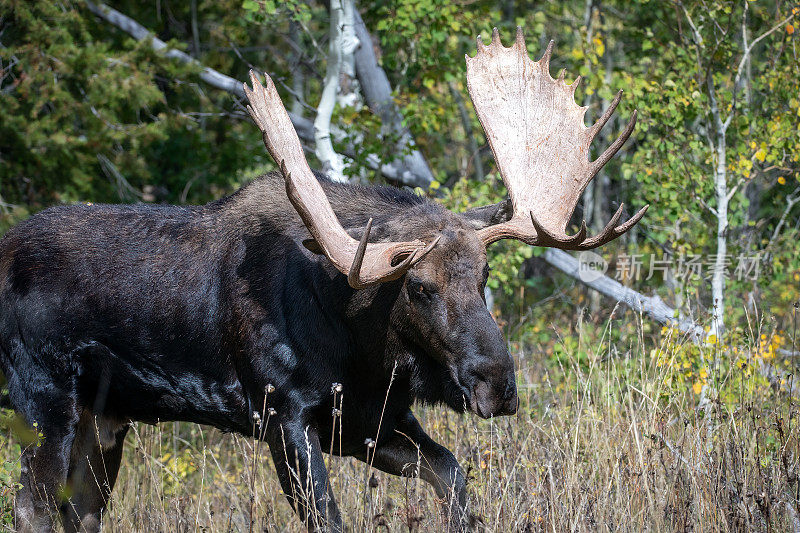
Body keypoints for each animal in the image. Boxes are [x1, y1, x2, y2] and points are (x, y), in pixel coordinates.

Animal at [0, 30, 644, 532]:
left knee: (79, 510)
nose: (499, 383)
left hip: (106, 417)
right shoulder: (282, 417)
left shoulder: (367, 421)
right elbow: (330, 518)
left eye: (484, 276)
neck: (360, 351)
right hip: (46, 400)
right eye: (418, 286)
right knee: (32, 508)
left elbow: (454, 477)